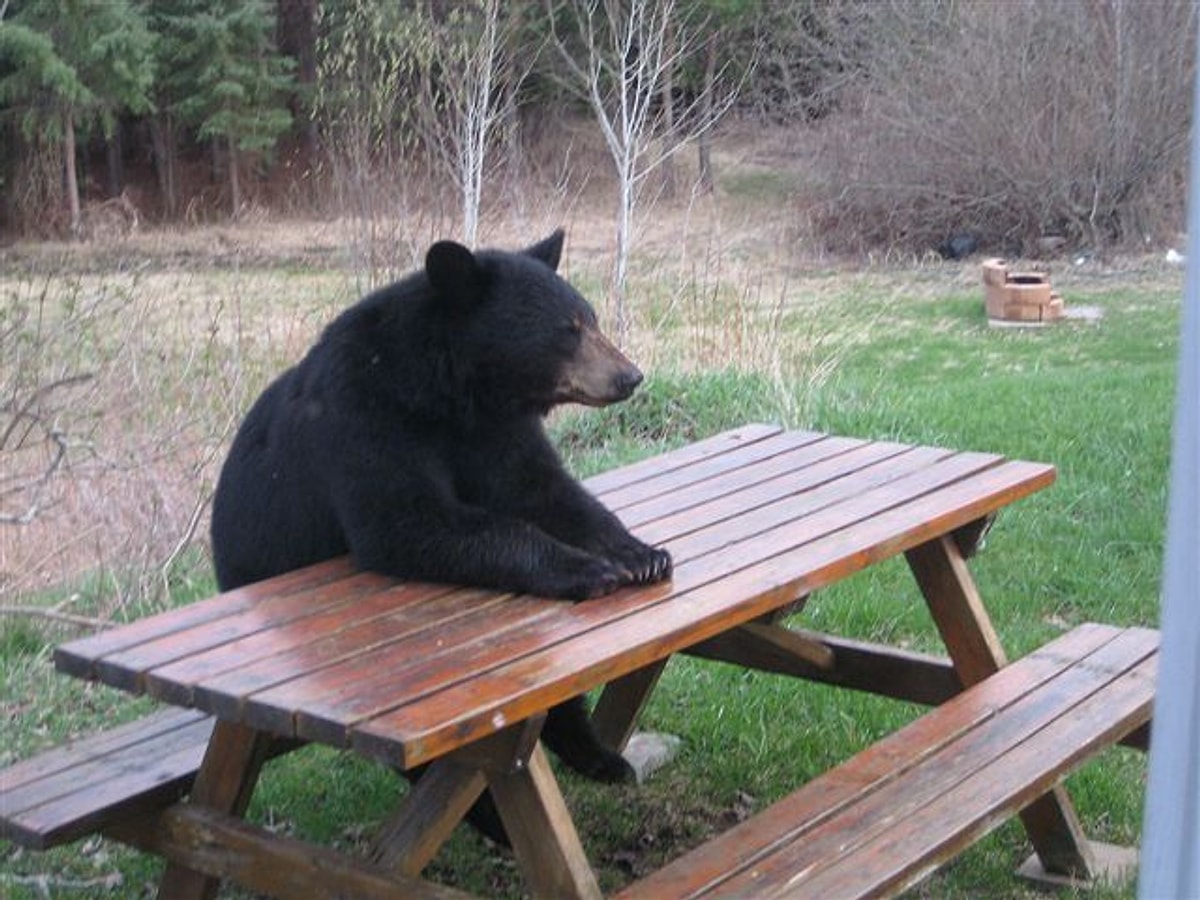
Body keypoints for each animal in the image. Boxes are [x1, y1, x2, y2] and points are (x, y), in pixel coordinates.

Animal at [210, 230, 672, 830]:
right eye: (567, 330)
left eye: (589, 318)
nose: (629, 376)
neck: (451, 391)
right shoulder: (364, 417)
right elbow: (410, 521)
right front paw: (590, 568)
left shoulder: (495, 430)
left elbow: (545, 490)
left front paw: (641, 553)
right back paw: (492, 818)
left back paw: (597, 756)